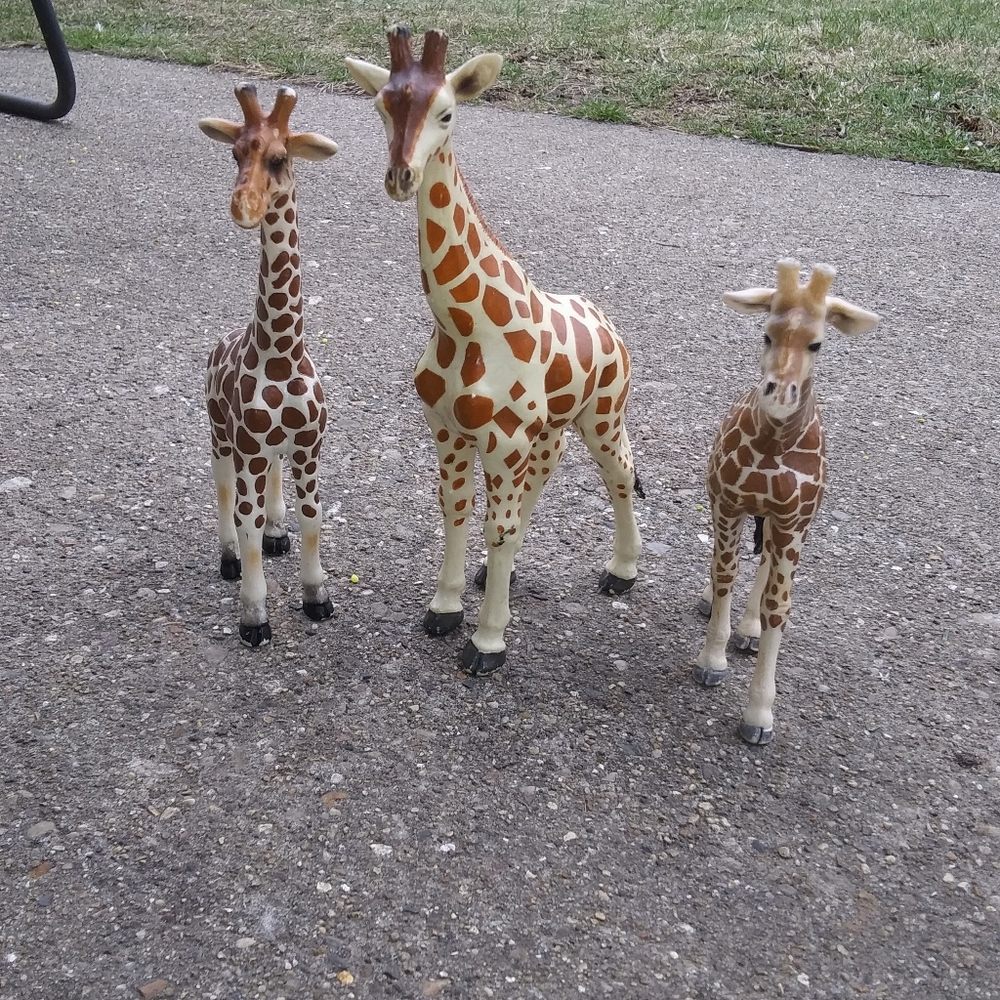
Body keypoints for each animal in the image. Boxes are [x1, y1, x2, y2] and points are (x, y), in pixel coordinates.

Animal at [346, 27, 643, 675]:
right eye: (381, 106)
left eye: (447, 113)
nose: (400, 177)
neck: (464, 326)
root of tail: (609, 324)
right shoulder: (449, 427)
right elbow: (457, 510)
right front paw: (446, 608)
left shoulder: (503, 438)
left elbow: (495, 528)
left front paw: (486, 644)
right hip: (551, 427)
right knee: (547, 474)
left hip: (602, 414)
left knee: (622, 474)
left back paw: (622, 572)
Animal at [694, 259, 880, 744]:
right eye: (766, 335)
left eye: (817, 342)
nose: (779, 393)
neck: (774, 443)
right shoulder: (728, 501)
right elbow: (724, 573)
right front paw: (711, 661)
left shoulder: (794, 521)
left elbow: (779, 607)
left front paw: (759, 715)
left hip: (790, 524)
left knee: (765, 564)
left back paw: (748, 628)